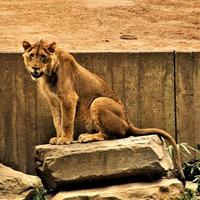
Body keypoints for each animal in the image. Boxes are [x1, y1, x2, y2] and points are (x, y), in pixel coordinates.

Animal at [21, 39, 184, 186]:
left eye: (43, 57)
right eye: (31, 56)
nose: (35, 68)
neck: (47, 75)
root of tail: (128, 120)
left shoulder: (68, 98)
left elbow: (66, 122)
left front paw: (65, 140)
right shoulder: (53, 102)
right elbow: (57, 122)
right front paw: (58, 138)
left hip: (98, 101)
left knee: (113, 135)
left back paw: (87, 137)